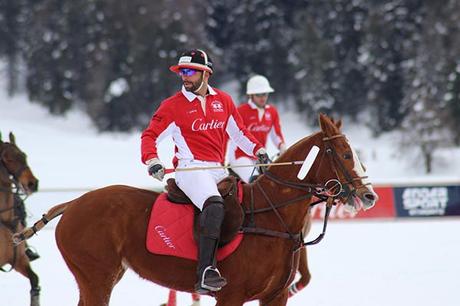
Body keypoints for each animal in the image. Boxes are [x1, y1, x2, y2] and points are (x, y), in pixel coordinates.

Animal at [15, 115, 380, 306]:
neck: (272, 217)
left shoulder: (275, 297)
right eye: (344, 154)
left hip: (104, 275)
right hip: (96, 277)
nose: (370, 195)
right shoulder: (230, 296)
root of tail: (72, 203)